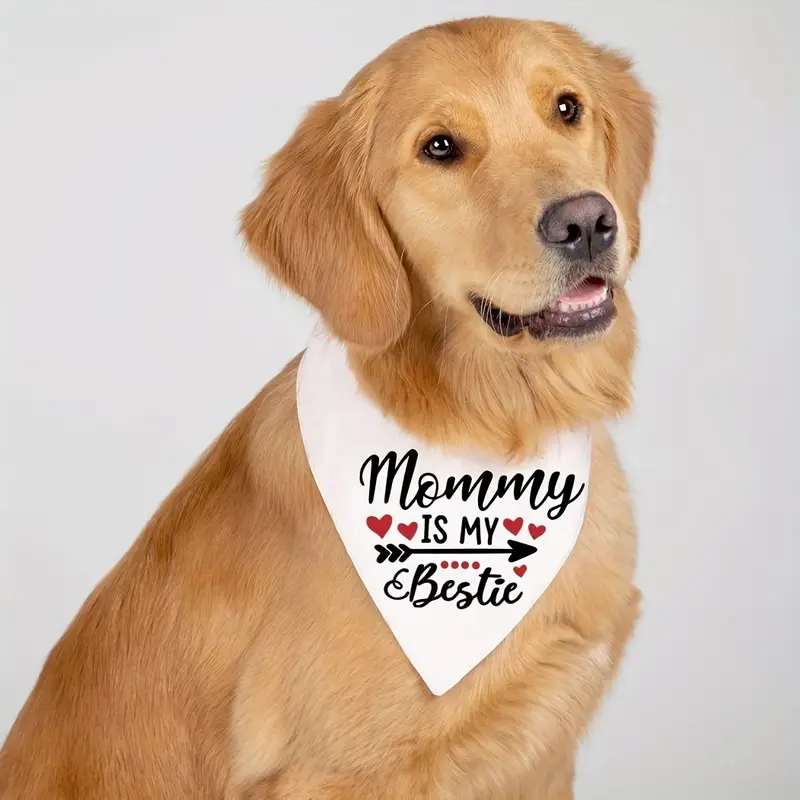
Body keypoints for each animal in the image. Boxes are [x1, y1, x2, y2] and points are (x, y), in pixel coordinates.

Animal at [0, 14, 652, 800]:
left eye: (566, 107)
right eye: (440, 148)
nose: (587, 222)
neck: (496, 430)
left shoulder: (544, 756)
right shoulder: (332, 774)